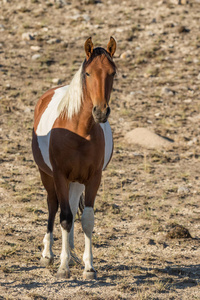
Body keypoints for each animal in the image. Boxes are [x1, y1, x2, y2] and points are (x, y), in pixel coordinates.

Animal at [31, 37, 116, 278]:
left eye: (113, 72)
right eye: (88, 73)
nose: (101, 112)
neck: (80, 130)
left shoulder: (93, 178)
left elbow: (86, 219)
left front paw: (89, 267)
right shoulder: (59, 175)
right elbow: (64, 217)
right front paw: (62, 266)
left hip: (77, 181)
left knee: (69, 205)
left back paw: (71, 253)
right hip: (47, 175)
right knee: (53, 206)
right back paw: (48, 255)